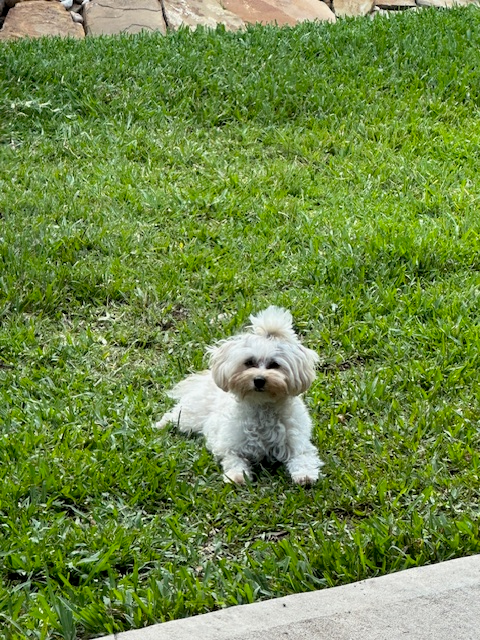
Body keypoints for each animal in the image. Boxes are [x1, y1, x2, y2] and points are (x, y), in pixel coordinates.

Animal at [158, 308, 322, 482]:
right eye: (249, 362)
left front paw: (305, 475)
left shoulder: (297, 442)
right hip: (190, 417)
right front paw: (236, 476)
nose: (259, 380)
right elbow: (233, 459)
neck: (261, 406)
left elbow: (303, 457)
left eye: (274, 365)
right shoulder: (229, 444)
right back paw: (160, 424)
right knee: (175, 415)